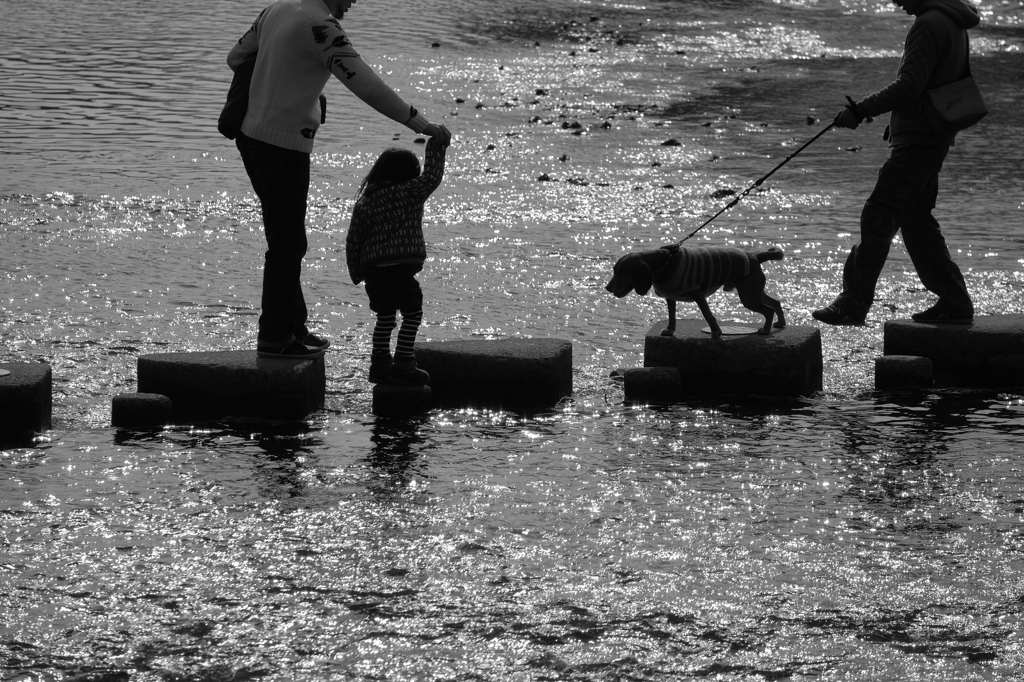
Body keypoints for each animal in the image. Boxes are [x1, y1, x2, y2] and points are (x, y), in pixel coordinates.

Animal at [606, 244, 782, 339]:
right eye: (615, 270)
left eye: (623, 271)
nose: (607, 288)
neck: (666, 262)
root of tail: (755, 256)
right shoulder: (670, 296)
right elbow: (672, 315)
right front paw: (670, 329)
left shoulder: (698, 294)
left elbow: (708, 315)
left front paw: (716, 332)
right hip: (754, 293)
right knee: (776, 303)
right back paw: (781, 323)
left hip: (749, 296)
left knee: (769, 310)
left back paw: (766, 330)